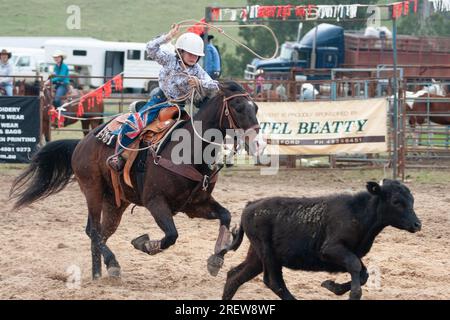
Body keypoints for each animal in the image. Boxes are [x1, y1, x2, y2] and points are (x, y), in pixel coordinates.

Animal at [9, 81, 260, 282]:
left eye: (256, 107)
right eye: (238, 107)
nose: (256, 143)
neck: (188, 150)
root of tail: (81, 143)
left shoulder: (195, 205)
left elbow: (225, 216)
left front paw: (217, 258)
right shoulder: (155, 202)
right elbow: (171, 236)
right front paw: (144, 244)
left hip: (115, 203)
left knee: (100, 232)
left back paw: (98, 274)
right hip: (92, 190)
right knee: (93, 230)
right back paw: (112, 265)